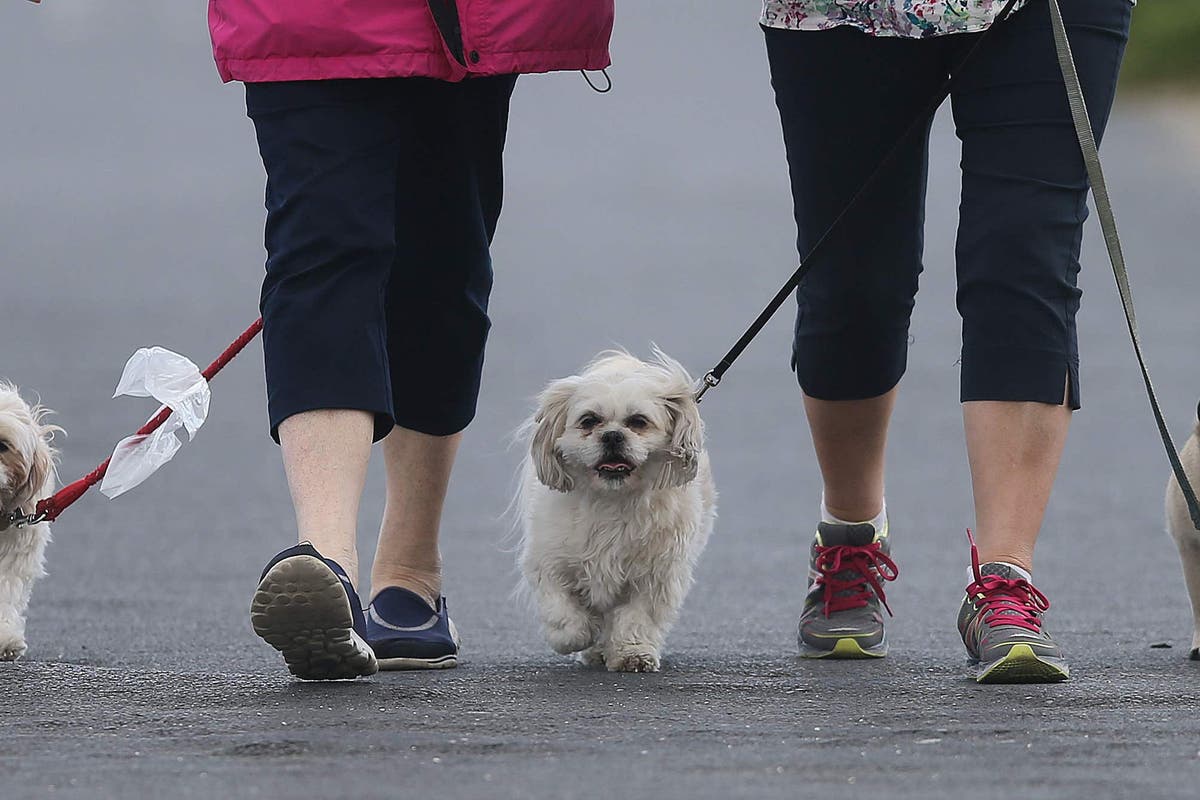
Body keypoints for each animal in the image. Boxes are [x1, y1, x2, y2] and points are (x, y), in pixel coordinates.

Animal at [516, 350, 710, 671]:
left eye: (638, 422)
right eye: (589, 421)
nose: (612, 435)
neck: (612, 499)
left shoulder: (655, 576)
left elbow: (637, 617)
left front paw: (632, 653)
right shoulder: (550, 562)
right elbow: (562, 609)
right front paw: (576, 635)